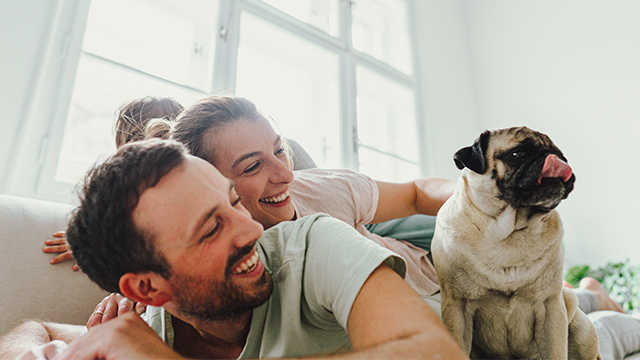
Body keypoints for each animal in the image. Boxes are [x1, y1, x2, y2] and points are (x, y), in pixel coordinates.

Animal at [432, 127, 604, 360]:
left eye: (563, 157)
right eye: (518, 154)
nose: (553, 158)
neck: (509, 234)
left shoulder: (551, 307)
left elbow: (555, 351)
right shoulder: (456, 307)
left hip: (579, 328)